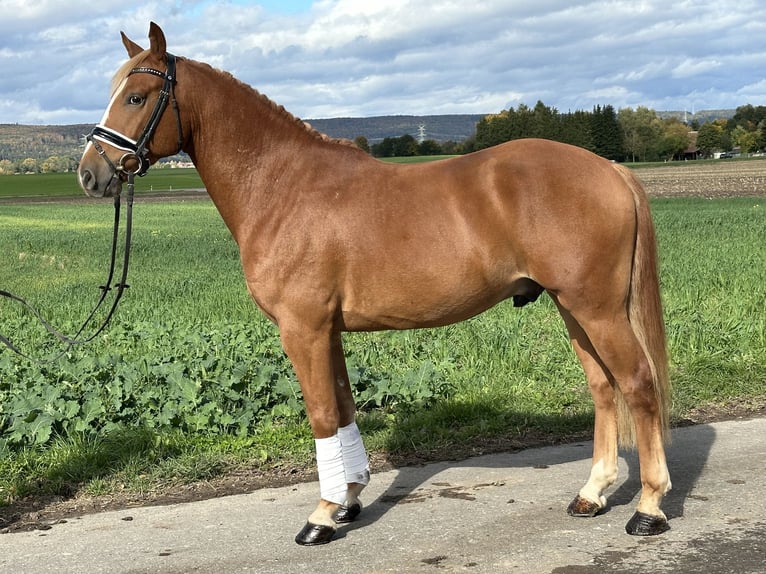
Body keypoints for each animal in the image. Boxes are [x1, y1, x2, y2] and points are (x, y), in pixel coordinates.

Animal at [78, 21, 672, 544]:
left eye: (137, 96)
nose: (90, 173)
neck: (284, 186)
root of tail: (611, 169)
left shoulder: (303, 329)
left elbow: (321, 415)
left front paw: (320, 516)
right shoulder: (328, 331)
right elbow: (343, 408)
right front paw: (348, 498)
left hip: (597, 309)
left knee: (638, 383)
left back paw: (647, 508)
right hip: (574, 308)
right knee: (603, 387)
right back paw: (592, 493)